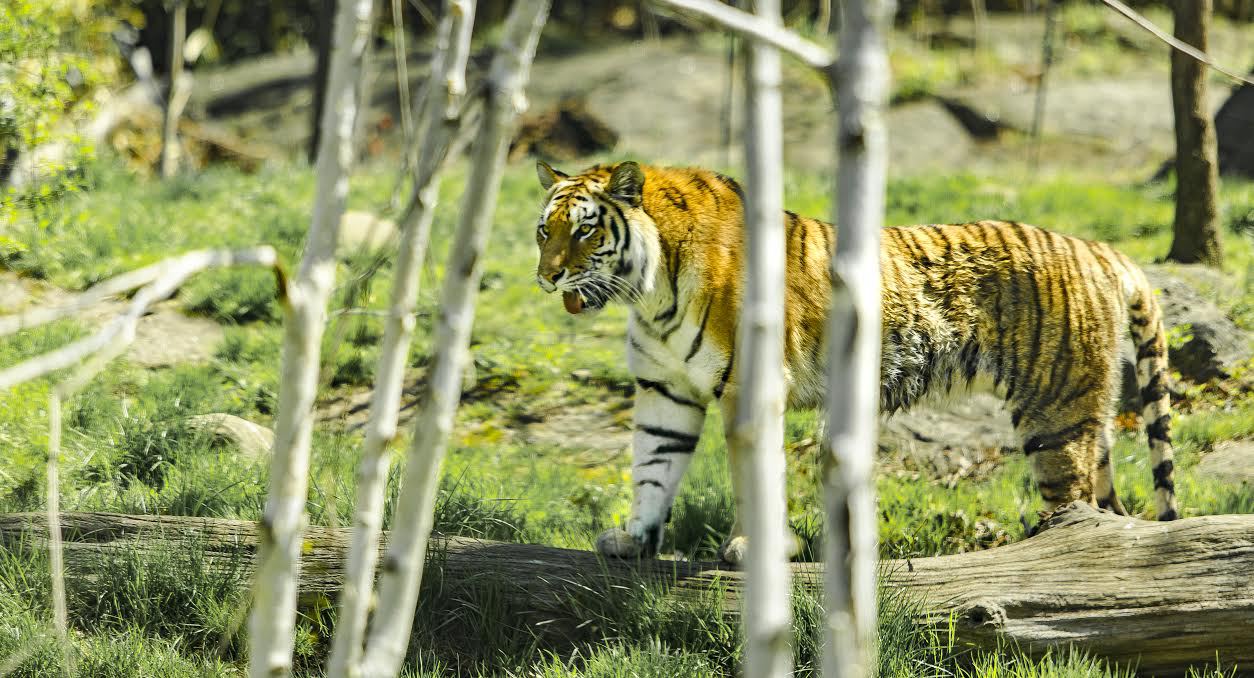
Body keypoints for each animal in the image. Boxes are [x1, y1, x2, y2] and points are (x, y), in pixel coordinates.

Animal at [532, 160, 1178, 564]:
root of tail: (1099, 247)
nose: (547, 277)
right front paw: (635, 540)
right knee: (1112, 508)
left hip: (1054, 416)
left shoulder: (748, 388)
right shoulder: (665, 389)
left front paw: (754, 551)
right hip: (1085, 413)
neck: (650, 292)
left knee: (1079, 508)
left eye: (585, 232)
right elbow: (652, 468)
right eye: (544, 231)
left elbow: (752, 479)